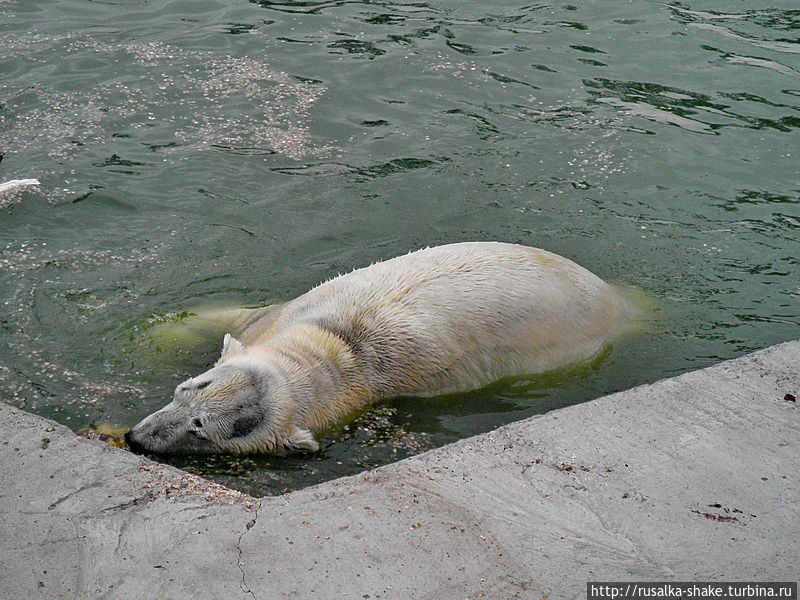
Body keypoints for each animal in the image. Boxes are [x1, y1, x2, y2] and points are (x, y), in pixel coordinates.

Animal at [126, 243, 632, 454]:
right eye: (189, 387)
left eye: (201, 431)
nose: (134, 438)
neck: (339, 350)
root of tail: (619, 297)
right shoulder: (284, 314)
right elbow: (237, 316)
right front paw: (152, 336)